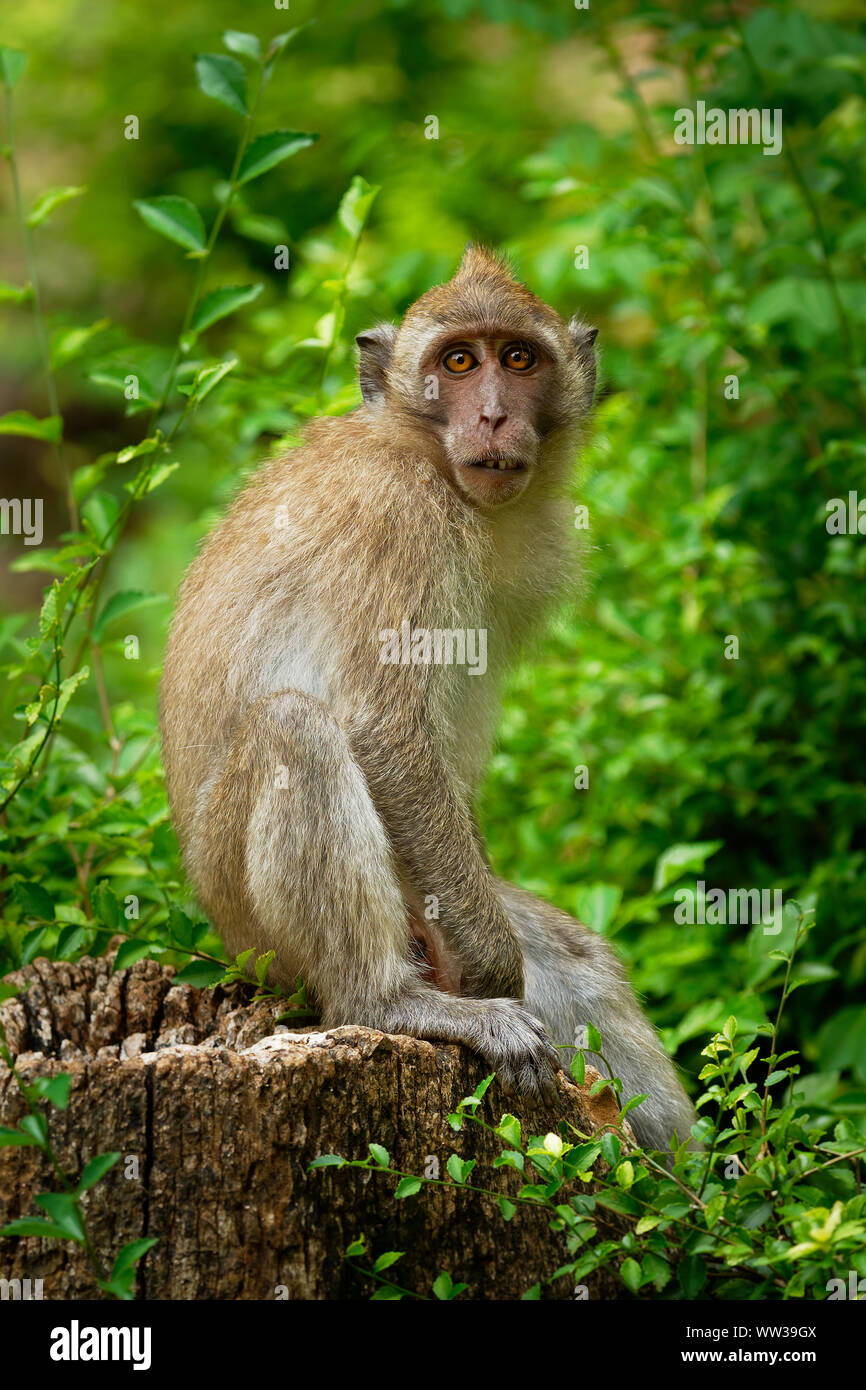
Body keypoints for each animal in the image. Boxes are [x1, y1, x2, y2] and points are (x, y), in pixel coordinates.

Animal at [160, 246, 696, 1151]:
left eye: (518, 358)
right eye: (458, 363)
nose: (492, 416)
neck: (427, 456)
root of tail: (223, 943)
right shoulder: (400, 522)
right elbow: (386, 732)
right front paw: (488, 975)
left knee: (578, 960)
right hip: (259, 936)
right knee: (295, 732)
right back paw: (391, 1002)